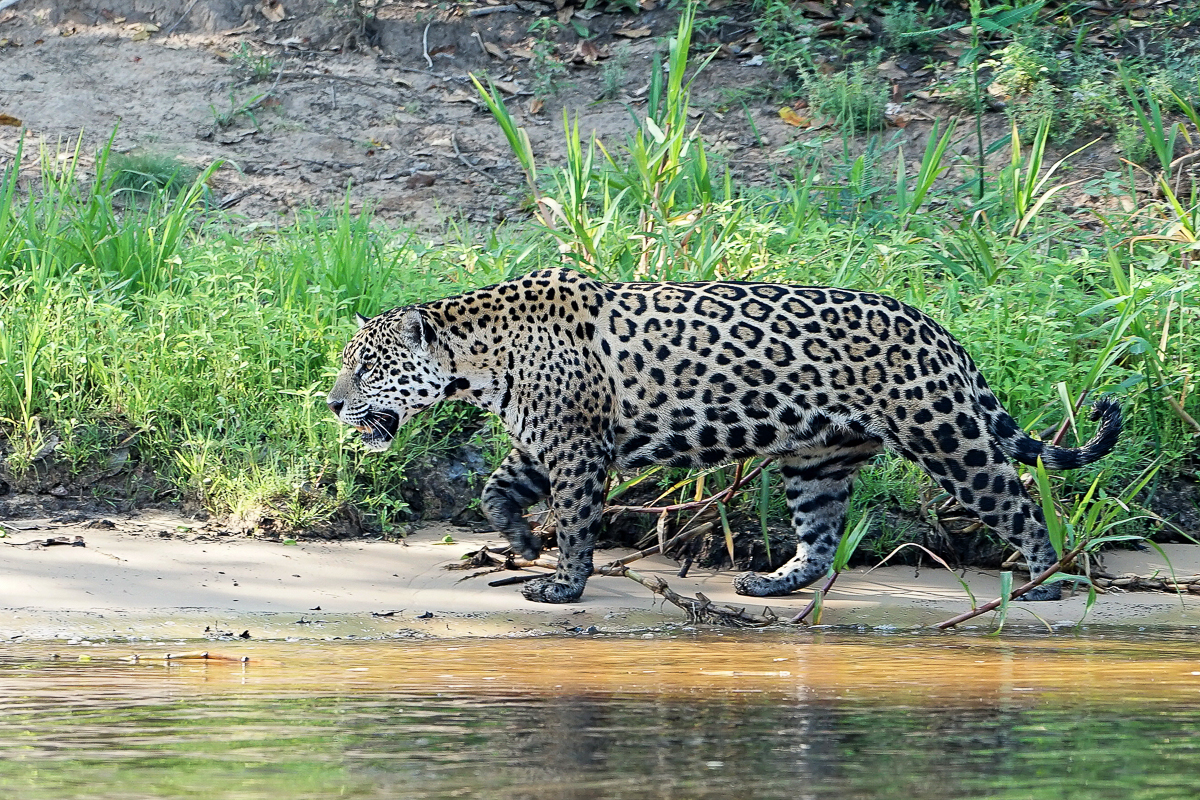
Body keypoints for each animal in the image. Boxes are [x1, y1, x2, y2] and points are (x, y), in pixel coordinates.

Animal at [326, 268, 1121, 605]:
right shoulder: (548, 441)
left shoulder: (579, 449)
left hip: (945, 436)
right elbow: (498, 485)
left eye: (366, 366)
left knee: (1018, 500)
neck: (478, 361)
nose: (333, 406)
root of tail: (936, 327)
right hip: (818, 457)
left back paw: (1045, 582)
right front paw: (518, 539)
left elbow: (578, 522)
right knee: (821, 538)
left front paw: (563, 584)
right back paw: (771, 582)